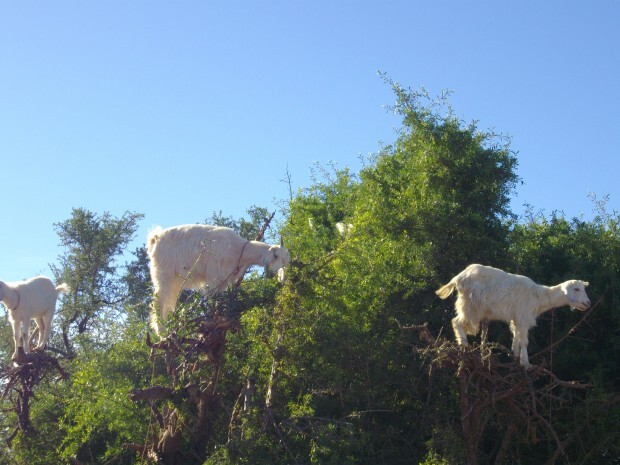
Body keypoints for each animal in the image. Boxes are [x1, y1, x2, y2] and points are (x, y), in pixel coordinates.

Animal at [148, 222, 290, 334]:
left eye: (284, 263)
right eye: (275, 255)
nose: (271, 273)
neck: (239, 249)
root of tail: (155, 238)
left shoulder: (223, 281)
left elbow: (218, 301)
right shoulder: (214, 276)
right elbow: (211, 299)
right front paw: (210, 323)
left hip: (174, 281)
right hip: (164, 274)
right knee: (157, 301)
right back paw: (161, 333)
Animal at [436, 264, 592, 366]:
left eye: (583, 288)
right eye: (576, 289)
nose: (587, 303)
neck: (538, 296)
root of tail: (458, 277)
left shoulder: (517, 317)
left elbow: (516, 337)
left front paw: (515, 356)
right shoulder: (523, 315)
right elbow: (525, 341)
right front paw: (526, 364)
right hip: (470, 305)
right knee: (456, 321)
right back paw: (464, 344)